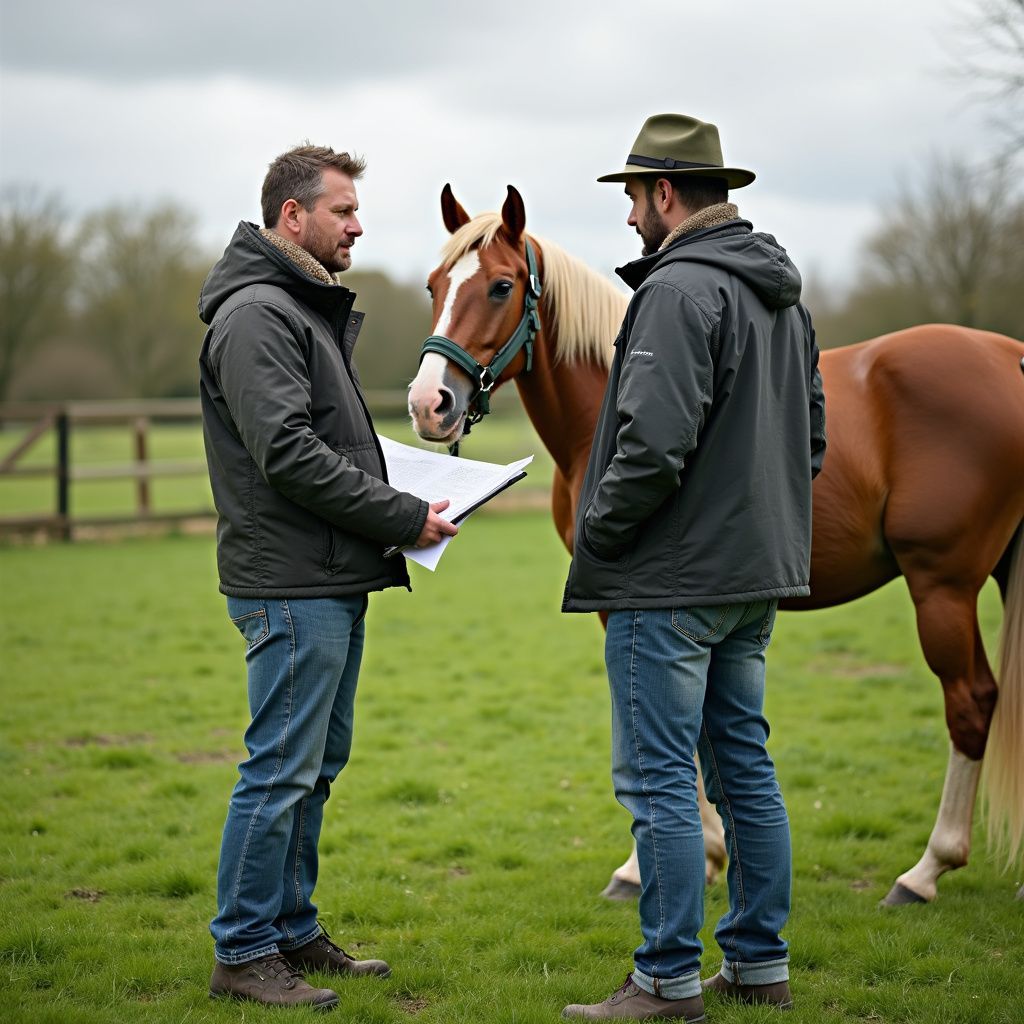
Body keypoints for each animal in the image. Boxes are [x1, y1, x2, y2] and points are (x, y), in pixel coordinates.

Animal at [407, 183, 1024, 906]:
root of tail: (1007, 358)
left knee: (972, 705)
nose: (428, 402)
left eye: (501, 286)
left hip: (943, 587)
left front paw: (653, 864)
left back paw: (926, 871)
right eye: (433, 285)